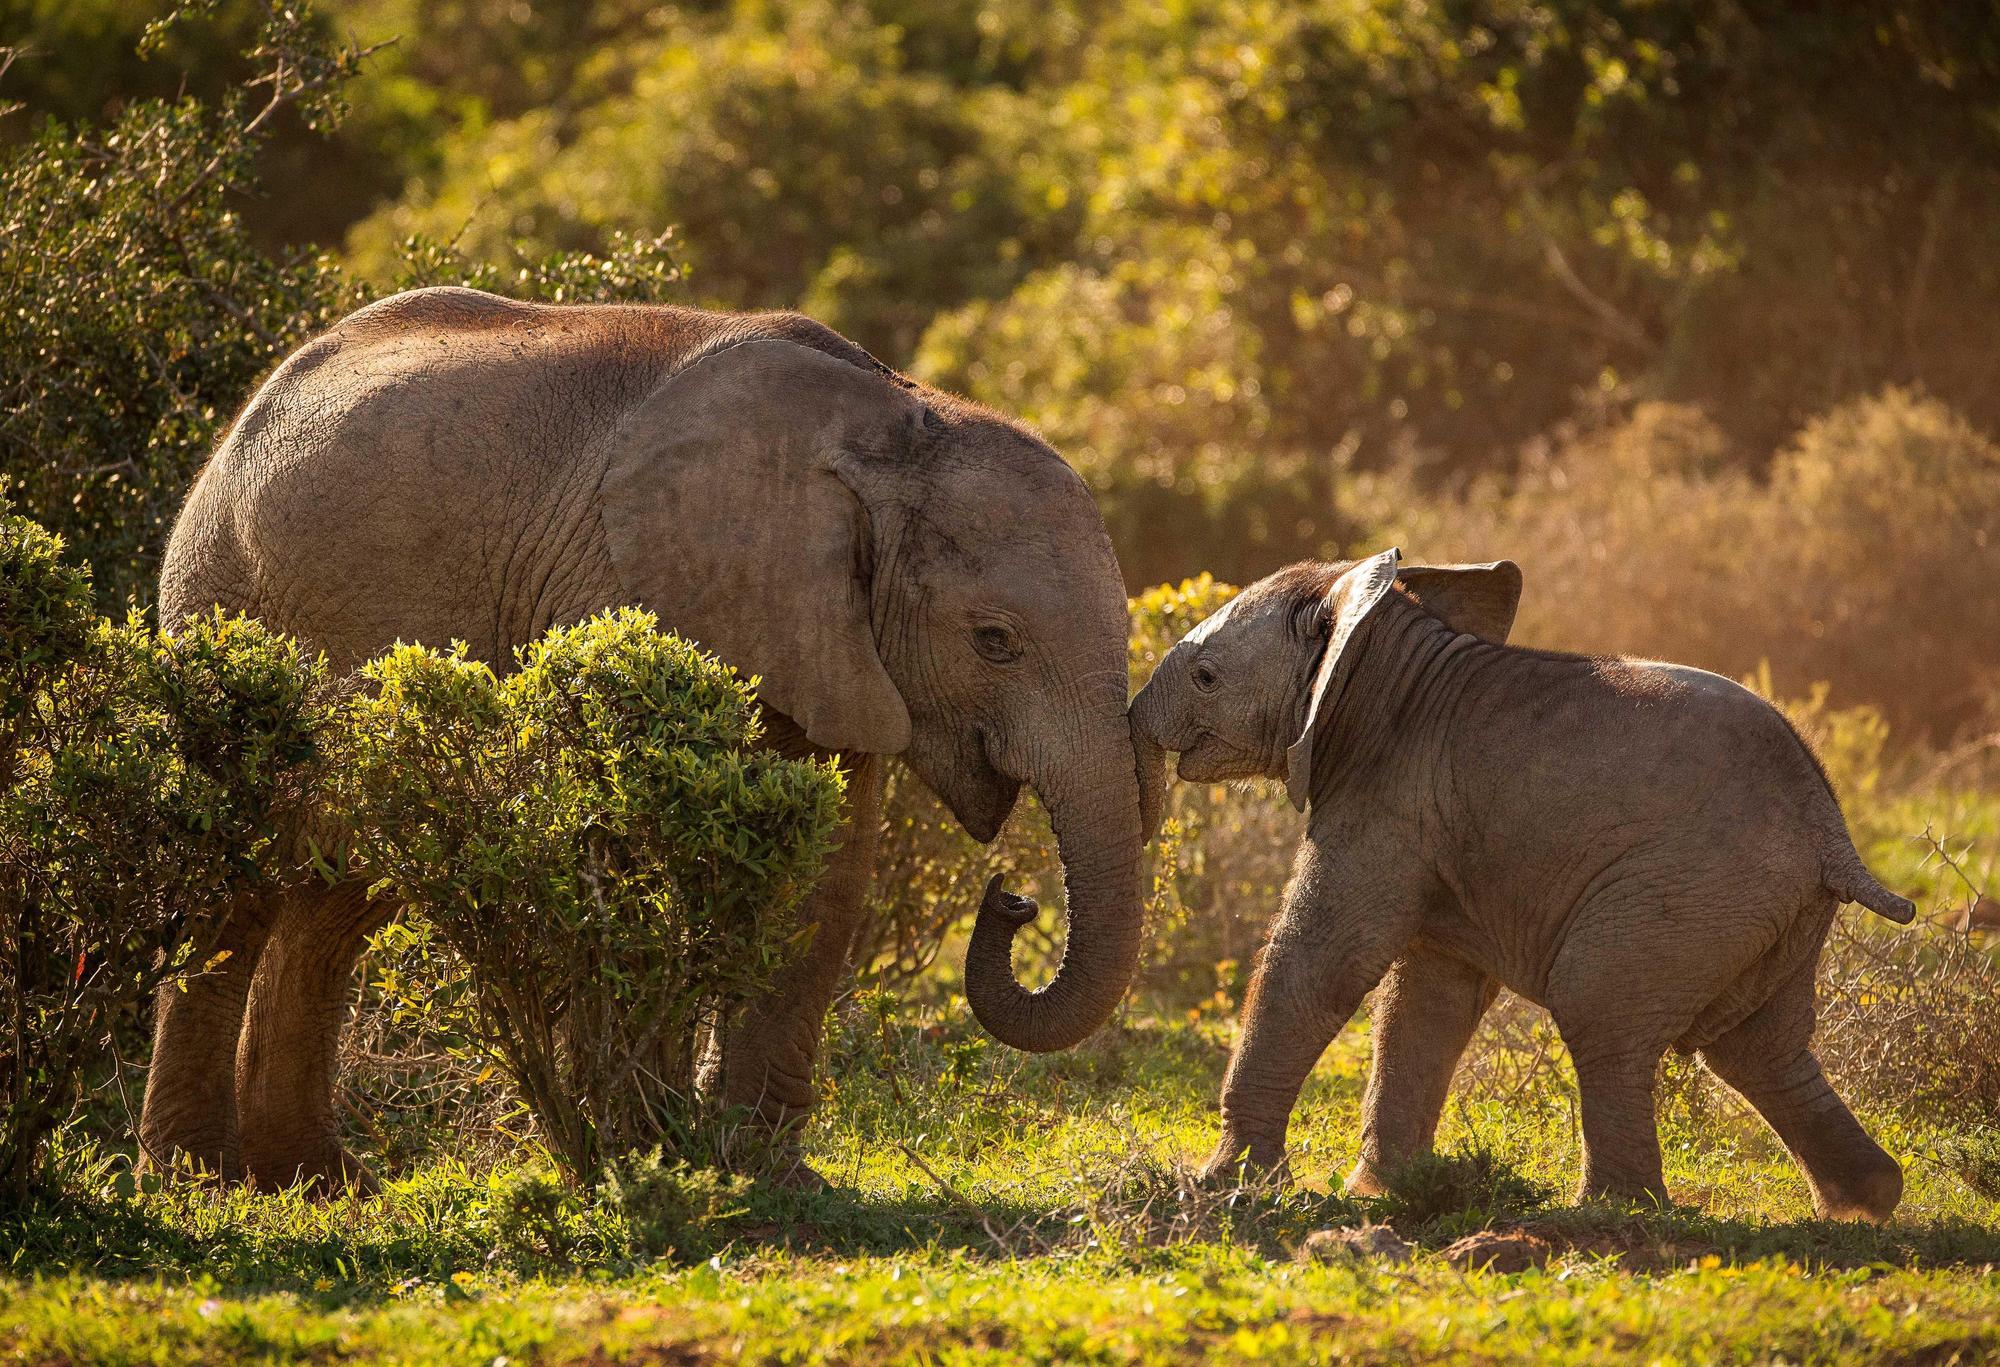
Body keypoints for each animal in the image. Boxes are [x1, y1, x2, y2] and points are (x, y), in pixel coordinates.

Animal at [140, 286, 1161, 1192]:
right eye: (994, 640)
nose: (1013, 897)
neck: (896, 423)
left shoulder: (824, 638)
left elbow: (827, 871)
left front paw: (764, 1172)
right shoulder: (624, 587)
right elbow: (621, 848)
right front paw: (648, 1154)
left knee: (335, 897)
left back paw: (318, 1182)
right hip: (224, 600)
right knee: (241, 880)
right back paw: (201, 1177)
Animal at [1128, 547, 1914, 1221]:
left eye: (1204, 676)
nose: (1135, 722)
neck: (1384, 652)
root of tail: (1830, 833)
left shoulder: (1389, 803)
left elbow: (1324, 962)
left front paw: (1224, 1184)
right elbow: (1426, 999)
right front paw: (1383, 1191)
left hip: (1694, 887)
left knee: (1602, 1006)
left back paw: (1611, 1211)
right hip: (1761, 911)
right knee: (1756, 1047)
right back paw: (1867, 1200)